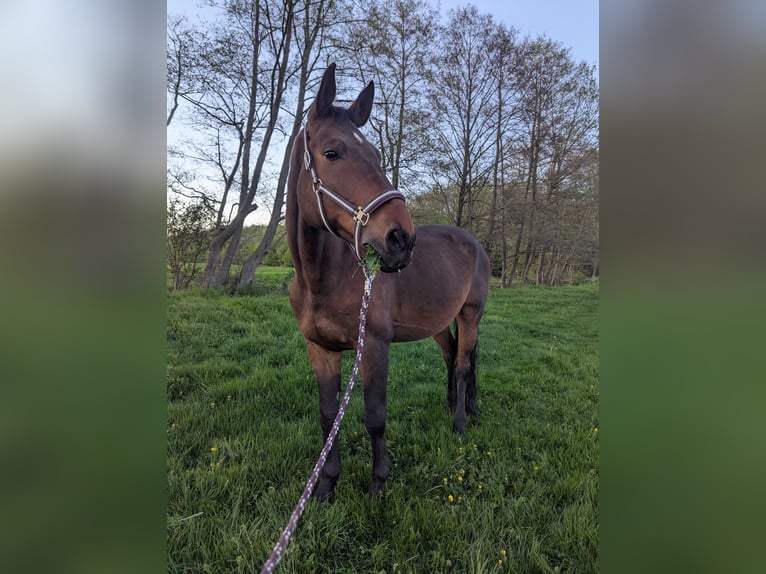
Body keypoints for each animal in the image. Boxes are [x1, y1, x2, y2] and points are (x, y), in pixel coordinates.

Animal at [286, 63, 490, 500]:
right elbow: (328, 417)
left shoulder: (374, 347)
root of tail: (472, 242)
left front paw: (378, 483)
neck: (322, 280)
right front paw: (326, 486)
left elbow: (375, 415)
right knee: (452, 356)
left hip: (470, 315)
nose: (400, 238)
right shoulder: (320, 349)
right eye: (332, 152)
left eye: (377, 155)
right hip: (438, 323)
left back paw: (460, 423)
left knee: (464, 365)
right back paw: (454, 407)